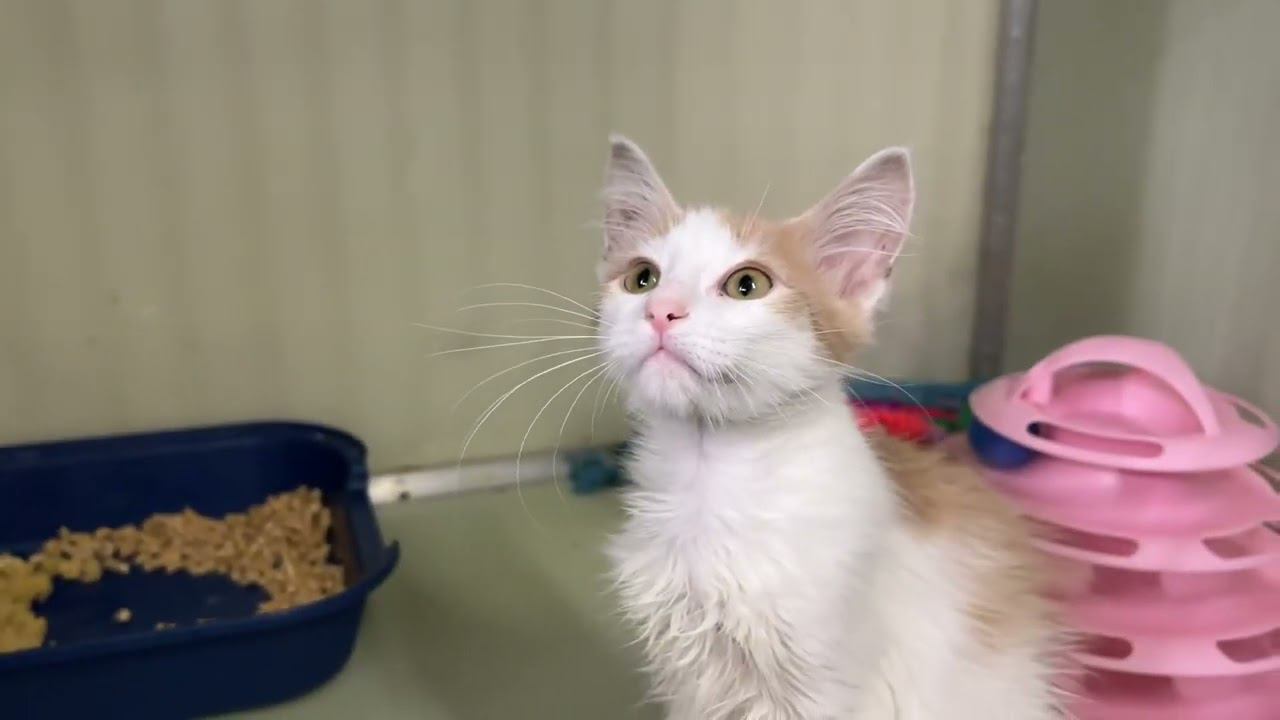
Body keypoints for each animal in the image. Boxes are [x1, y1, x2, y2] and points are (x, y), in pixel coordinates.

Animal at [597, 136, 1062, 719]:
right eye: (643, 278)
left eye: (747, 285)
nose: (660, 310)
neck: (712, 482)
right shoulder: (688, 679)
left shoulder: (828, 681)